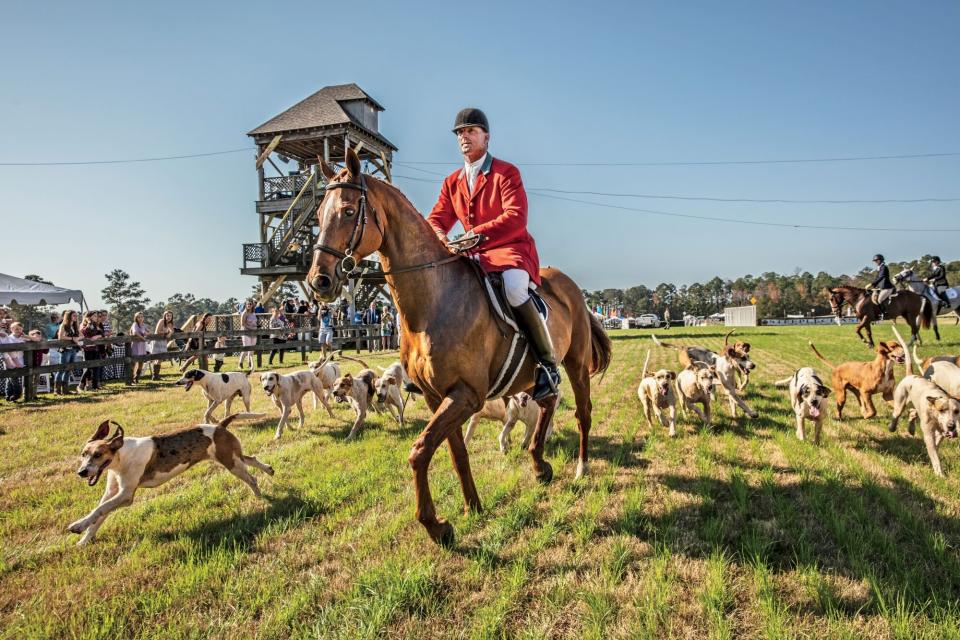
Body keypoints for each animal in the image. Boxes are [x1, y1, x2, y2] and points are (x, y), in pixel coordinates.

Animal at [304, 150, 612, 544]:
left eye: (346, 210)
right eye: (317, 215)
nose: (319, 282)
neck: (433, 301)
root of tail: (568, 282)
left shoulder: (466, 395)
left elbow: (420, 450)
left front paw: (435, 526)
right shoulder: (438, 396)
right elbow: (456, 452)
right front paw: (472, 506)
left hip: (575, 363)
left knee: (582, 412)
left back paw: (581, 467)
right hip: (532, 377)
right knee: (547, 402)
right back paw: (539, 464)